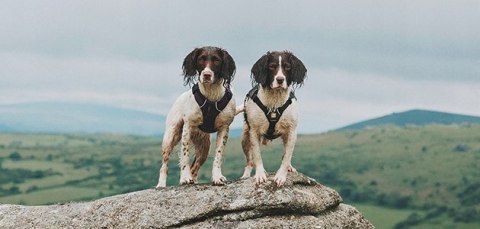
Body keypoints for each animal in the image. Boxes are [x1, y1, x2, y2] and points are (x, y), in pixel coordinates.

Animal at [157, 47, 240, 188]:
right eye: (201, 59)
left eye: (217, 60)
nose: (206, 75)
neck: (211, 94)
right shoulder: (188, 126)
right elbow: (185, 155)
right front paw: (185, 178)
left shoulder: (224, 128)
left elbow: (218, 155)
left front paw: (217, 177)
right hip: (170, 137)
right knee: (164, 164)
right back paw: (161, 184)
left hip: (204, 147)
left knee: (195, 168)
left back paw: (194, 180)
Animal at [240, 50, 308, 186]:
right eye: (272, 66)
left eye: (287, 66)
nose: (280, 80)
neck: (274, 102)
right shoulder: (254, 131)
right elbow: (256, 155)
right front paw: (260, 175)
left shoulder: (291, 131)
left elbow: (286, 156)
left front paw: (281, 176)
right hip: (244, 137)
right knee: (249, 161)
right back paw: (246, 175)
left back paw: (290, 167)